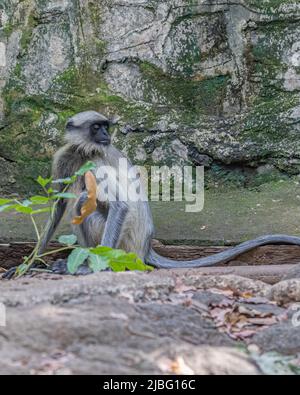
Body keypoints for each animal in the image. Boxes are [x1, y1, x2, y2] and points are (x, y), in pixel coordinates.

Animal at [17, 110, 300, 274]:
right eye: (97, 127)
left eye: (105, 126)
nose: (106, 134)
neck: (84, 152)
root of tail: (145, 247)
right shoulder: (64, 158)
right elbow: (57, 206)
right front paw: (30, 262)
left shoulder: (96, 164)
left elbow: (120, 205)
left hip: (125, 246)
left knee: (87, 205)